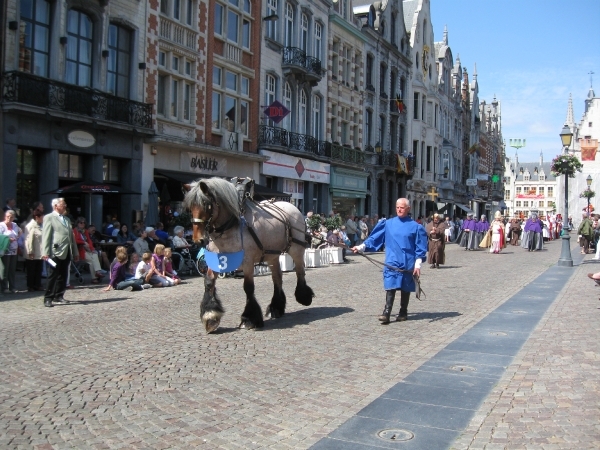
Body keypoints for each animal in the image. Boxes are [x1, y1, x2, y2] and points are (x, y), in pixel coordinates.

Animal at [182, 178, 314, 332]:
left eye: (207, 205)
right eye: (190, 208)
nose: (198, 240)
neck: (231, 226)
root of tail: (291, 206)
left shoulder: (247, 262)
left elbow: (248, 287)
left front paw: (249, 318)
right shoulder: (216, 260)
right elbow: (209, 282)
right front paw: (210, 316)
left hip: (296, 249)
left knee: (299, 271)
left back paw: (303, 296)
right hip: (272, 255)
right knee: (277, 277)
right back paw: (276, 307)